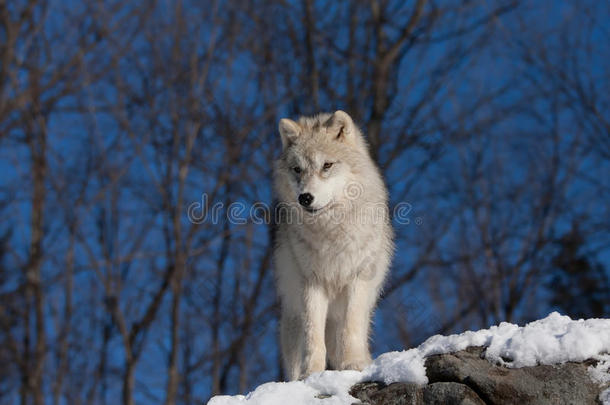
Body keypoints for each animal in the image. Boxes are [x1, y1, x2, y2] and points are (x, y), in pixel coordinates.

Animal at [272, 108, 394, 378]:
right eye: (297, 169)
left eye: (327, 165)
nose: (305, 198)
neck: (331, 231)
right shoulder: (311, 282)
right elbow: (313, 336)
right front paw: (311, 374)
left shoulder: (358, 279)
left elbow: (350, 328)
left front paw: (353, 365)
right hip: (292, 321)